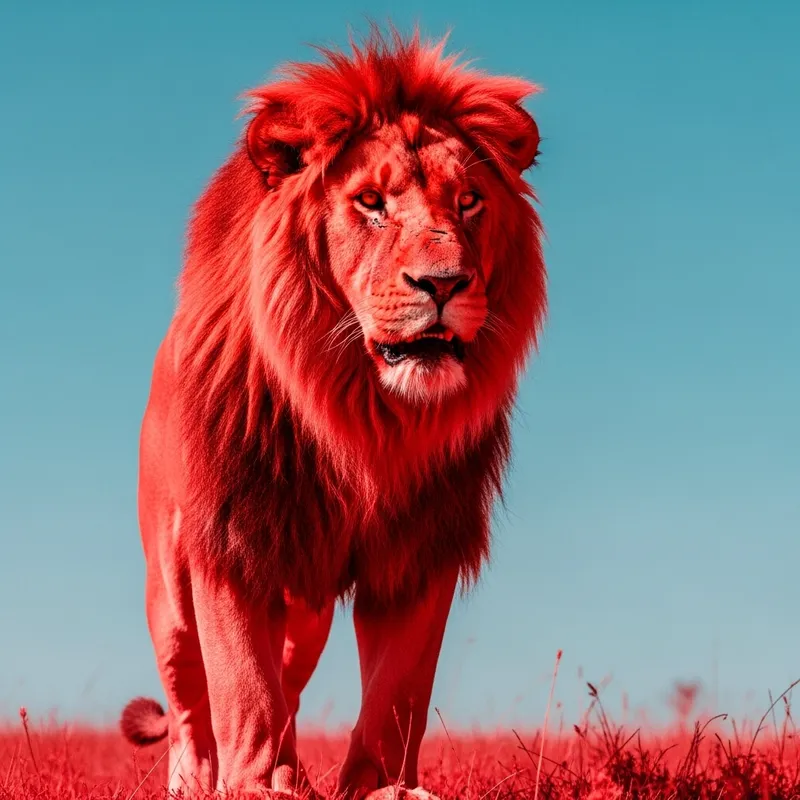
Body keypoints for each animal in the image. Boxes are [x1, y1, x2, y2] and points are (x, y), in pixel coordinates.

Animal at [120, 27, 546, 799]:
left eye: (469, 201)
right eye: (370, 201)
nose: (444, 283)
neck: (363, 417)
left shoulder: (422, 549)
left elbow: (399, 693)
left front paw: (383, 786)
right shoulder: (232, 538)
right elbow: (241, 685)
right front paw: (252, 785)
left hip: (308, 611)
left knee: (288, 680)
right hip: (168, 587)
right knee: (191, 696)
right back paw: (198, 780)